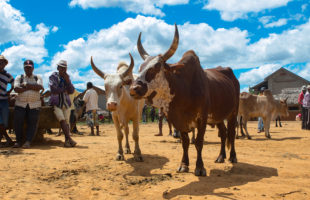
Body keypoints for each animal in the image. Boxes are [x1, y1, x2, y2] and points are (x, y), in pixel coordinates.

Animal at [128, 24, 240, 176]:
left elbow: (198, 142)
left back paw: (233, 157)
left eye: (156, 67)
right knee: (223, 133)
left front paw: (200, 167)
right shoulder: (179, 121)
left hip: (233, 112)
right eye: (140, 68)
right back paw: (221, 156)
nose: (134, 88)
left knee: (232, 133)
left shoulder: (202, 119)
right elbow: (185, 142)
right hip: (217, 117)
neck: (184, 90)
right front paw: (184, 165)